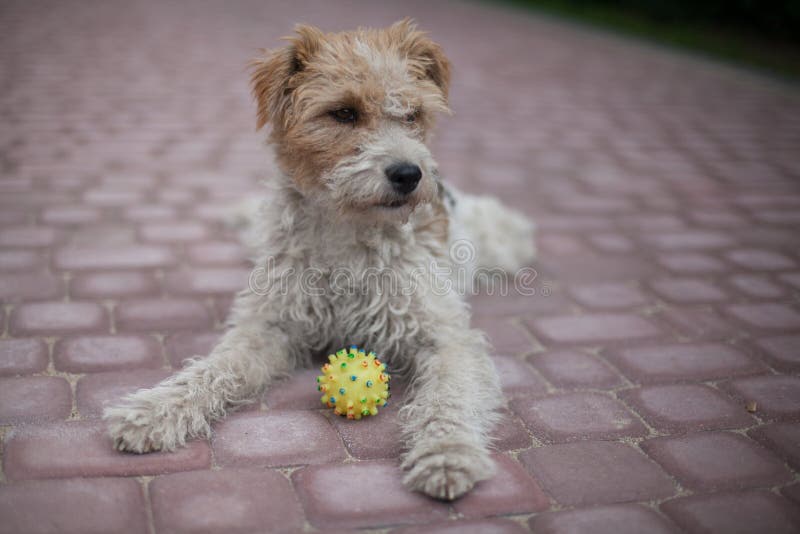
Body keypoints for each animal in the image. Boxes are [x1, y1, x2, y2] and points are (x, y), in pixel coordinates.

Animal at [103, 19, 536, 502]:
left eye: (412, 115)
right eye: (343, 113)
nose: (409, 174)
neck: (347, 232)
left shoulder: (447, 339)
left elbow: (449, 398)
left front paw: (446, 453)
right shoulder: (270, 326)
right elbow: (214, 370)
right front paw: (153, 410)